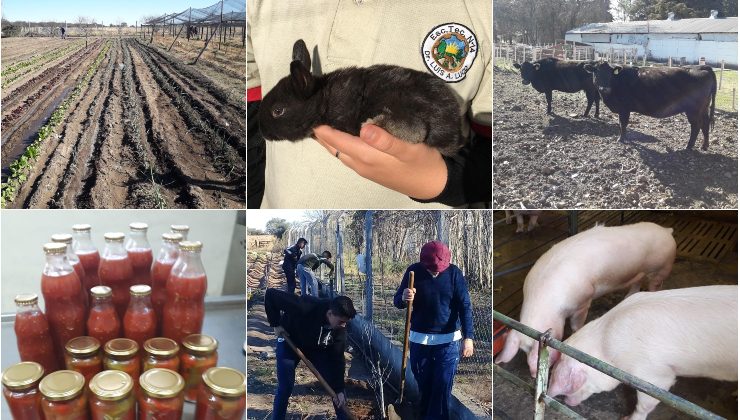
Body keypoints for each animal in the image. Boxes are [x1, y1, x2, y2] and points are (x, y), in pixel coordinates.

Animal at [258, 39, 466, 156]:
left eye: (278, 111)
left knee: (418, 130)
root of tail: (453, 127)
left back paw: (377, 122)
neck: (323, 99)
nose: (263, 133)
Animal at [584, 60, 716, 149]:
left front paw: (621, 139)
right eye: (596, 72)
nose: (604, 88)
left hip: (693, 109)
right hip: (704, 108)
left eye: (610, 74)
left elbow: (623, 124)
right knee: (705, 124)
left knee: (696, 126)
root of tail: (702, 66)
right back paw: (704, 146)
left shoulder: (624, 108)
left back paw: (688, 146)